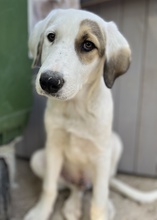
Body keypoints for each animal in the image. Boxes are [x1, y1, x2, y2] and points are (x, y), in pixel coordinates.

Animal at [23, 8, 157, 220]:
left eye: (88, 45)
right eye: (51, 37)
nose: (49, 81)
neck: (75, 107)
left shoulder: (102, 155)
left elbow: (98, 201)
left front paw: (101, 212)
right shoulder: (53, 146)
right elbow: (49, 188)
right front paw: (41, 212)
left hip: (115, 145)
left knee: (97, 189)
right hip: (39, 159)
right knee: (74, 187)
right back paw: (72, 206)